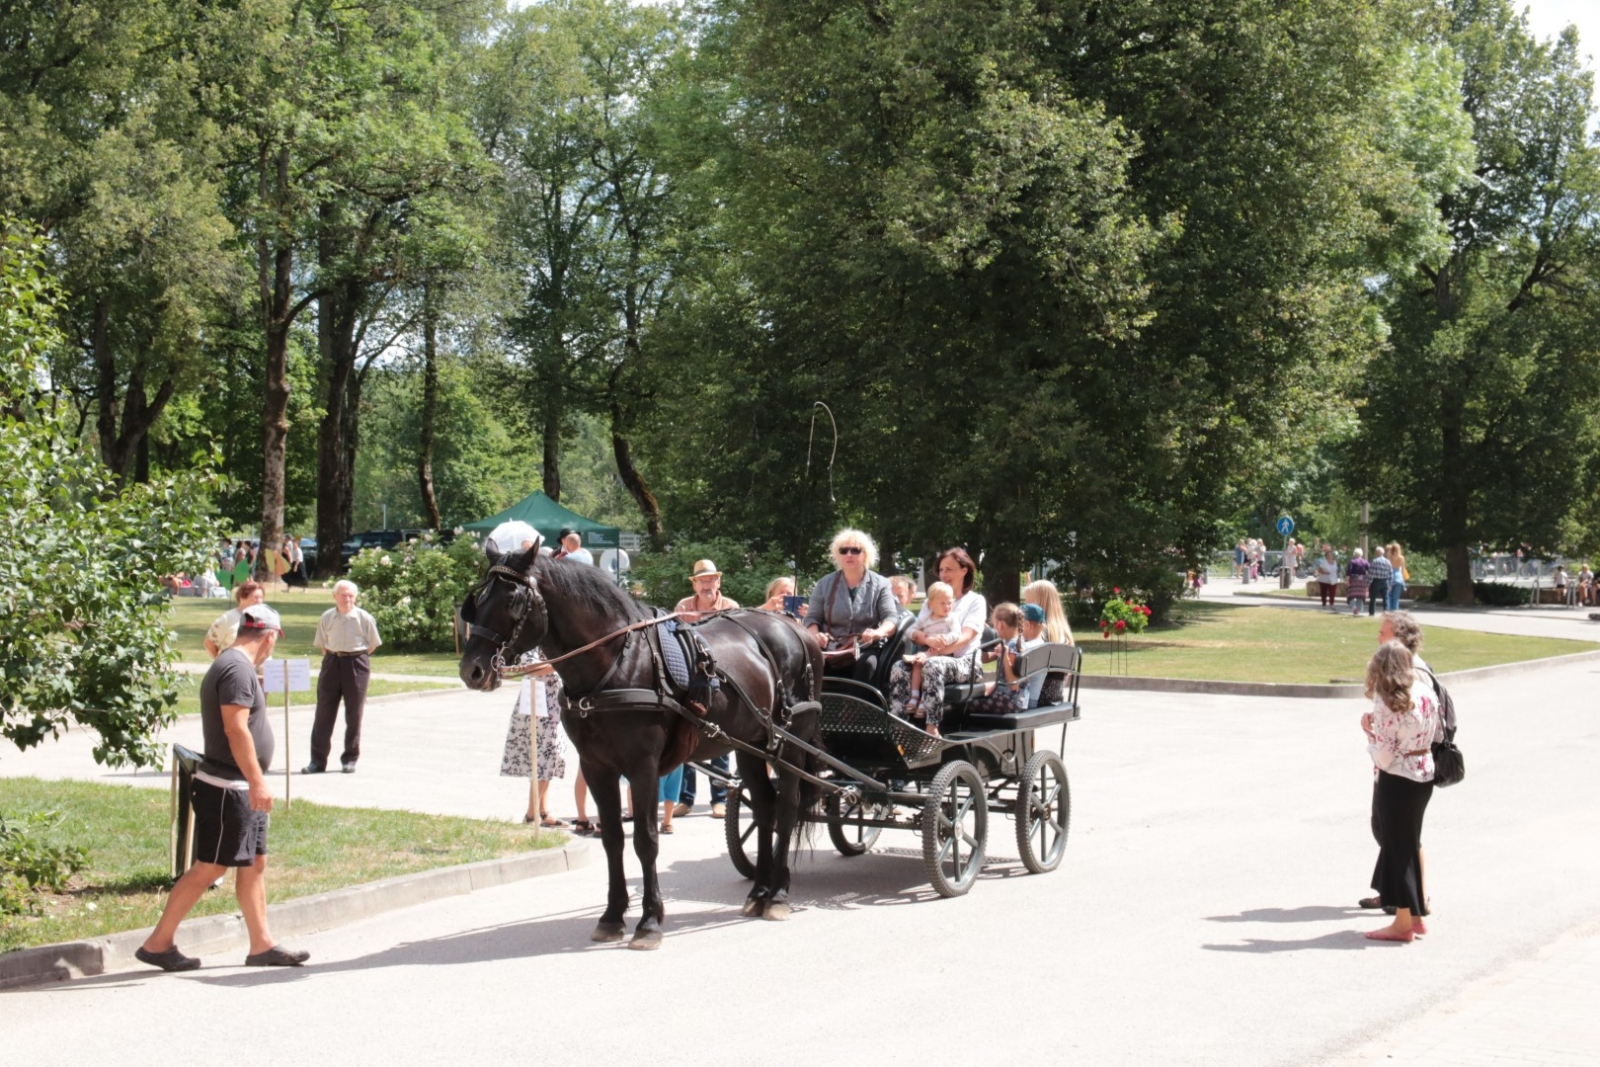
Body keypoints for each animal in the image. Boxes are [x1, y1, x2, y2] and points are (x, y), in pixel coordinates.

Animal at [454, 550, 819, 953]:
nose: (471, 669)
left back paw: (779, 895)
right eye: (479, 600)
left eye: (514, 601)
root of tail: (797, 630)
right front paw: (612, 917)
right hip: (753, 745)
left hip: (790, 743)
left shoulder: (642, 767)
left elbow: (646, 840)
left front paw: (649, 922)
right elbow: (613, 838)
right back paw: (759, 892)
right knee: (765, 807)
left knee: (787, 808)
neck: (615, 665)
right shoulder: (597, 766)